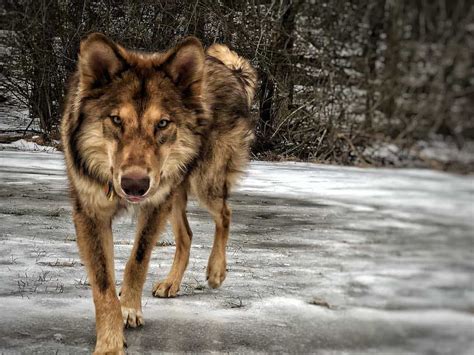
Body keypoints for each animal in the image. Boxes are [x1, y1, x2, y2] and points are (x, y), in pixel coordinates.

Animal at [61, 32, 258, 354]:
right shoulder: (90, 213)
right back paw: (171, 283)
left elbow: (137, 261)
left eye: (162, 123)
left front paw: (129, 309)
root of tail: (229, 69)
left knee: (225, 214)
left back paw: (216, 270)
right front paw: (110, 341)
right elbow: (103, 286)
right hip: (175, 193)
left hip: (202, 184)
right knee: (187, 235)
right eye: (116, 120)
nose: (134, 185)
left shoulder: (154, 205)